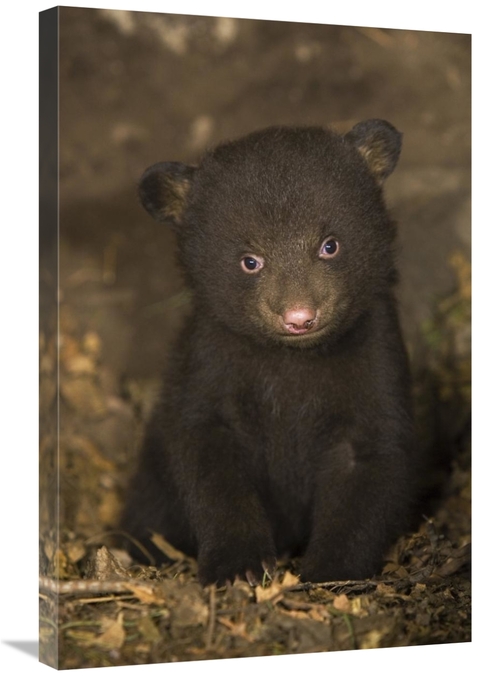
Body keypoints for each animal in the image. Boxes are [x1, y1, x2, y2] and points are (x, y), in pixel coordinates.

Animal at [120, 120, 418, 587]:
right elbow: (209, 463)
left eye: (330, 245)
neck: (292, 360)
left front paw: (330, 572)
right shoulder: (209, 366)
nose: (299, 317)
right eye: (249, 260)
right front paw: (236, 565)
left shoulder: (377, 361)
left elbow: (370, 466)